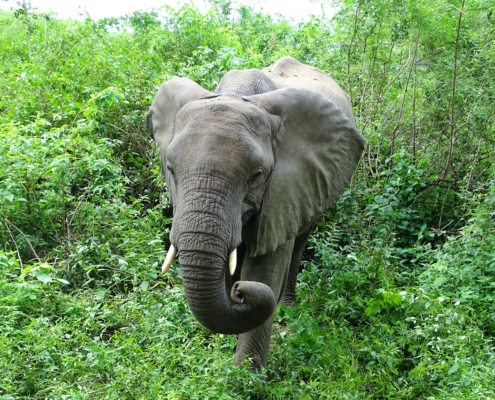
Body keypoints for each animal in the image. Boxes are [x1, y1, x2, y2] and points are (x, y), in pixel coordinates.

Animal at [145, 56, 366, 368]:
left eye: (256, 175)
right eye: (171, 169)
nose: (240, 292)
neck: (237, 95)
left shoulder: (286, 191)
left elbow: (264, 272)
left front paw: (245, 374)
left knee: (300, 243)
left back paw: (286, 309)